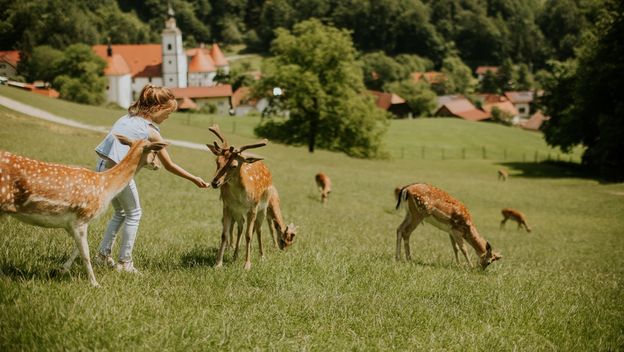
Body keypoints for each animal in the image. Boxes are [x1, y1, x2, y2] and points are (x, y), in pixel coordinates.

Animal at [0, 136, 167, 288]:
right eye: (155, 151)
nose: (158, 166)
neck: (105, 187)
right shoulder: (82, 217)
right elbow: (85, 253)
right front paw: (95, 284)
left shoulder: (70, 223)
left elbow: (78, 248)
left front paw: (61, 269)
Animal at [205, 124, 292, 270]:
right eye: (217, 161)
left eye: (233, 165)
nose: (215, 182)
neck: (240, 196)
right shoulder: (228, 206)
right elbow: (224, 234)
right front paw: (218, 263)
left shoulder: (253, 208)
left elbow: (249, 235)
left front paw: (247, 264)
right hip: (239, 212)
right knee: (241, 227)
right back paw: (235, 255)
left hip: (263, 208)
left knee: (258, 229)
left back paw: (262, 256)